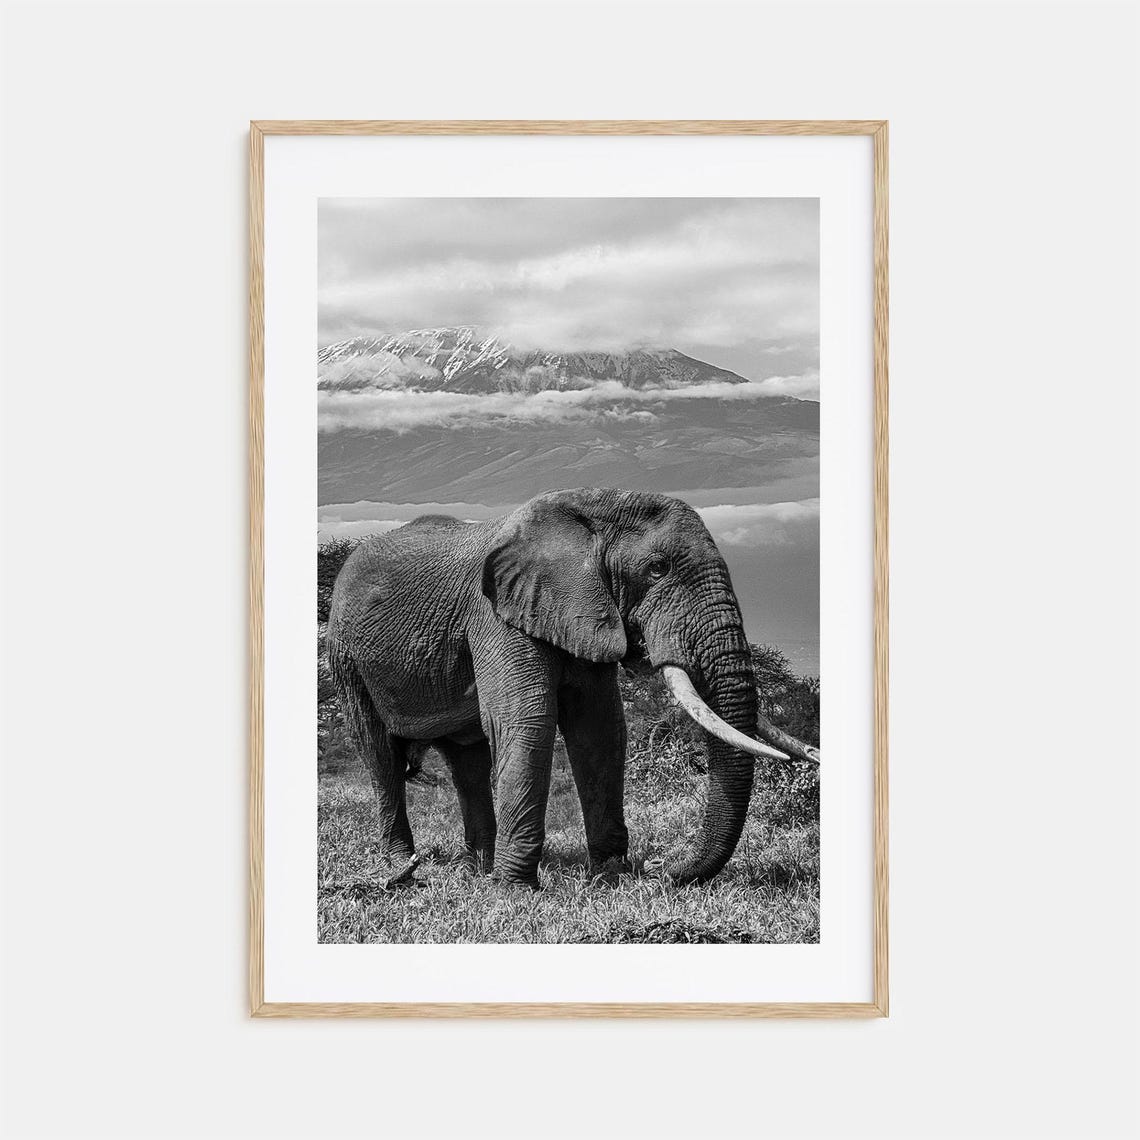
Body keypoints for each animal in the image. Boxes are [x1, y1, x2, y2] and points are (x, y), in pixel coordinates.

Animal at [326, 487, 819, 889]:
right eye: (657, 569)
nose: (662, 868)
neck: (592, 509)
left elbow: (599, 730)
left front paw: (610, 878)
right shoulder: (495, 616)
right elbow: (527, 721)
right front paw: (516, 893)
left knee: (467, 760)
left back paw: (477, 870)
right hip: (347, 657)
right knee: (380, 755)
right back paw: (405, 867)